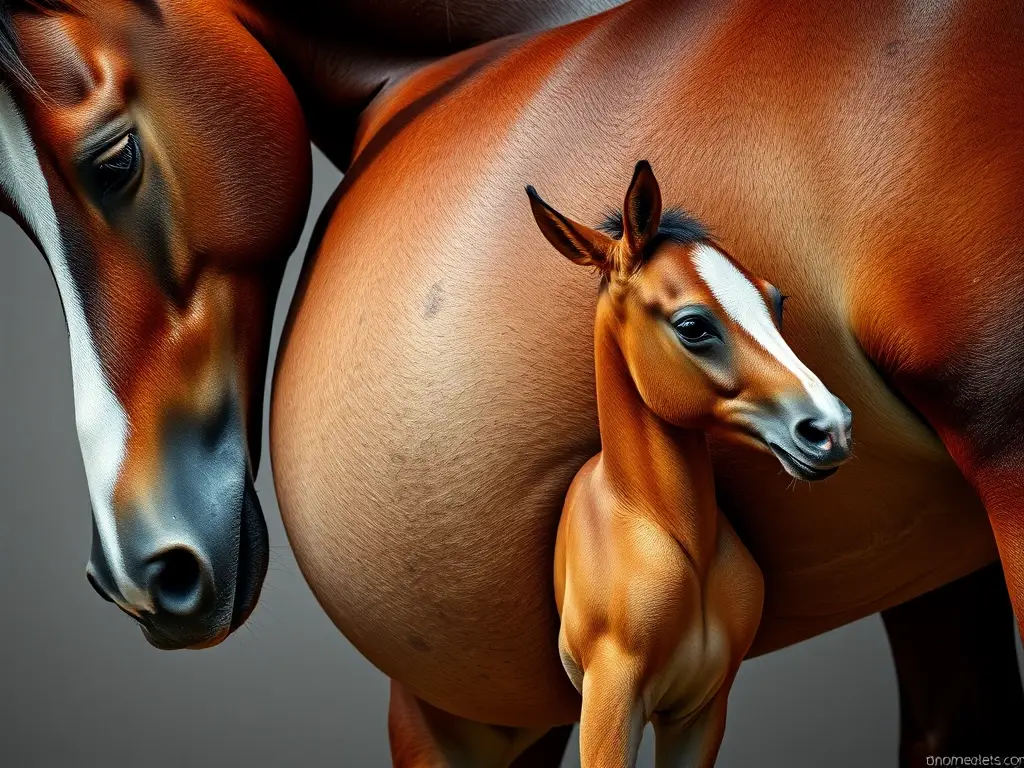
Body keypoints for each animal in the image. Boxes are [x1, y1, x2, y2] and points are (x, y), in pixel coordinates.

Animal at [534, 161, 852, 765]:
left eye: (777, 301)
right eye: (692, 326)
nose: (830, 429)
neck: (680, 543)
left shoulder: (702, 708)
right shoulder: (609, 707)